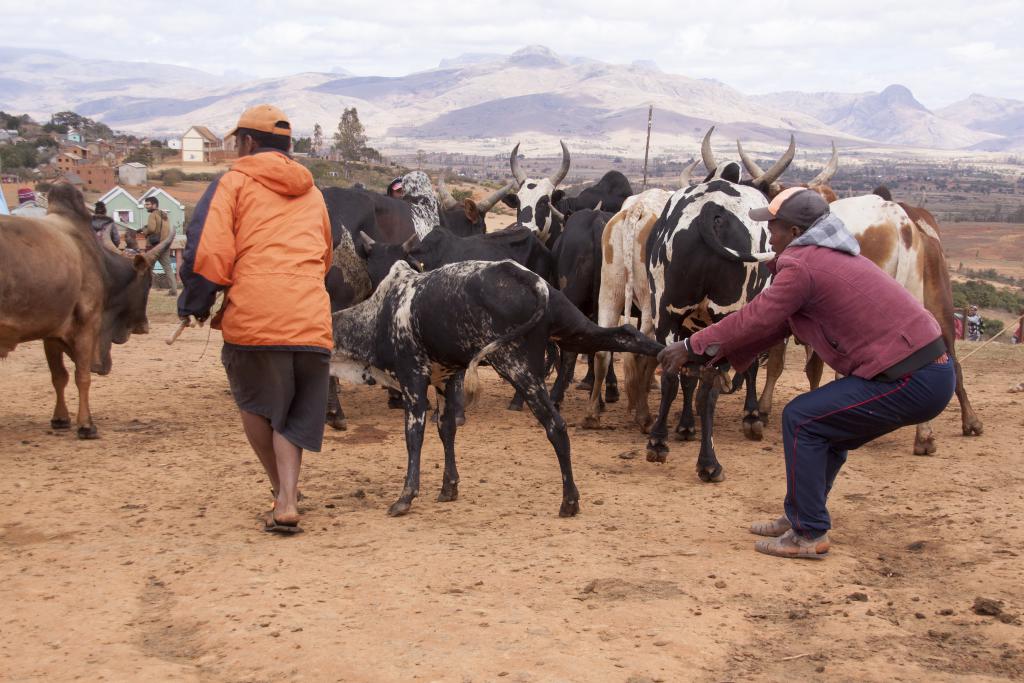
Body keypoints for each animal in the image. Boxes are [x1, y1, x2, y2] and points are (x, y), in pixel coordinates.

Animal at [0, 184, 172, 438]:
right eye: (149, 282)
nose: (144, 326)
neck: (101, 265)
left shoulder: (51, 333)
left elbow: (59, 376)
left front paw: (60, 418)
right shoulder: (87, 324)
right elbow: (82, 377)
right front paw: (86, 425)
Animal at [327, 259, 663, 516]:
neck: (382, 314)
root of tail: (528, 278)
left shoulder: (413, 381)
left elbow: (414, 437)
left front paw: (405, 497)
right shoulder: (445, 380)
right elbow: (446, 429)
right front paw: (449, 487)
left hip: (517, 366)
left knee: (555, 426)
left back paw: (569, 501)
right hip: (575, 332)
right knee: (626, 333)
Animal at [643, 126, 794, 481]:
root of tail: (711, 211)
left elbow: (687, 376)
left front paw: (685, 427)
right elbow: (747, 368)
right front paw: (752, 418)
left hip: (666, 313)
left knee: (671, 373)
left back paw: (658, 442)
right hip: (726, 316)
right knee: (708, 389)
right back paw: (709, 463)